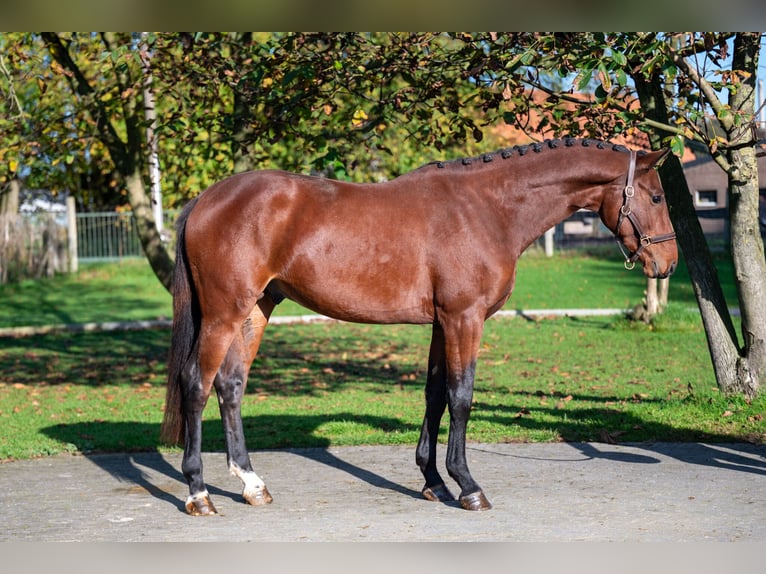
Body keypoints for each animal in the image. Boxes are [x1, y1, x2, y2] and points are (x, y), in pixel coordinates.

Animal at [162, 140, 680, 516]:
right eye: (656, 196)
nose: (668, 263)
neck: (486, 208)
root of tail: (206, 200)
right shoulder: (464, 318)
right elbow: (462, 395)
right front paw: (468, 486)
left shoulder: (441, 322)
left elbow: (434, 394)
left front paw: (434, 482)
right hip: (224, 313)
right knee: (197, 384)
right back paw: (198, 493)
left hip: (256, 309)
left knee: (230, 385)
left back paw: (252, 485)